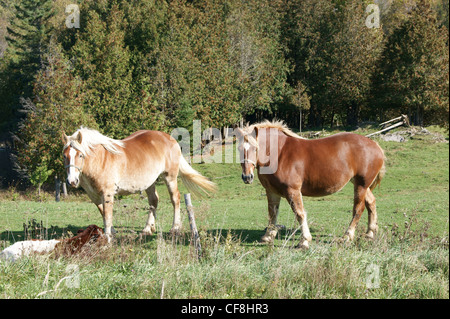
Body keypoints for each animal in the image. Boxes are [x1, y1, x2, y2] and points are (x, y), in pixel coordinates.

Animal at [62, 127, 216, 242]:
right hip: (149, 182)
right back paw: (147, 229)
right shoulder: (94, 195)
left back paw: (175, 228)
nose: (72, 181)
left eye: (80, 155)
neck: (100, 160)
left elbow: (107, 216)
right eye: (65, 156)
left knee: (175, 199)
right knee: (154, 200)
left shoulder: (107, 193)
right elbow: (103, 213)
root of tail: (169, 138)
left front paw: (108, 238)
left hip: (170, 177)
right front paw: (113, 232)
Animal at [234, 120, 384, 250]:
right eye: (239, 149)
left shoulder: (292, 190)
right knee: (371, 202)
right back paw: (370, 233)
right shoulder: (272, 191)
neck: (280, 153)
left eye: (255, 148)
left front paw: (304, 241)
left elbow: (299, 213)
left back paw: (347, 236)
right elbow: (272, 213)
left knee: (358, 209)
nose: (247, 177)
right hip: (361, 184)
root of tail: (375, 145)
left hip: (361, 185)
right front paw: (268, 236)